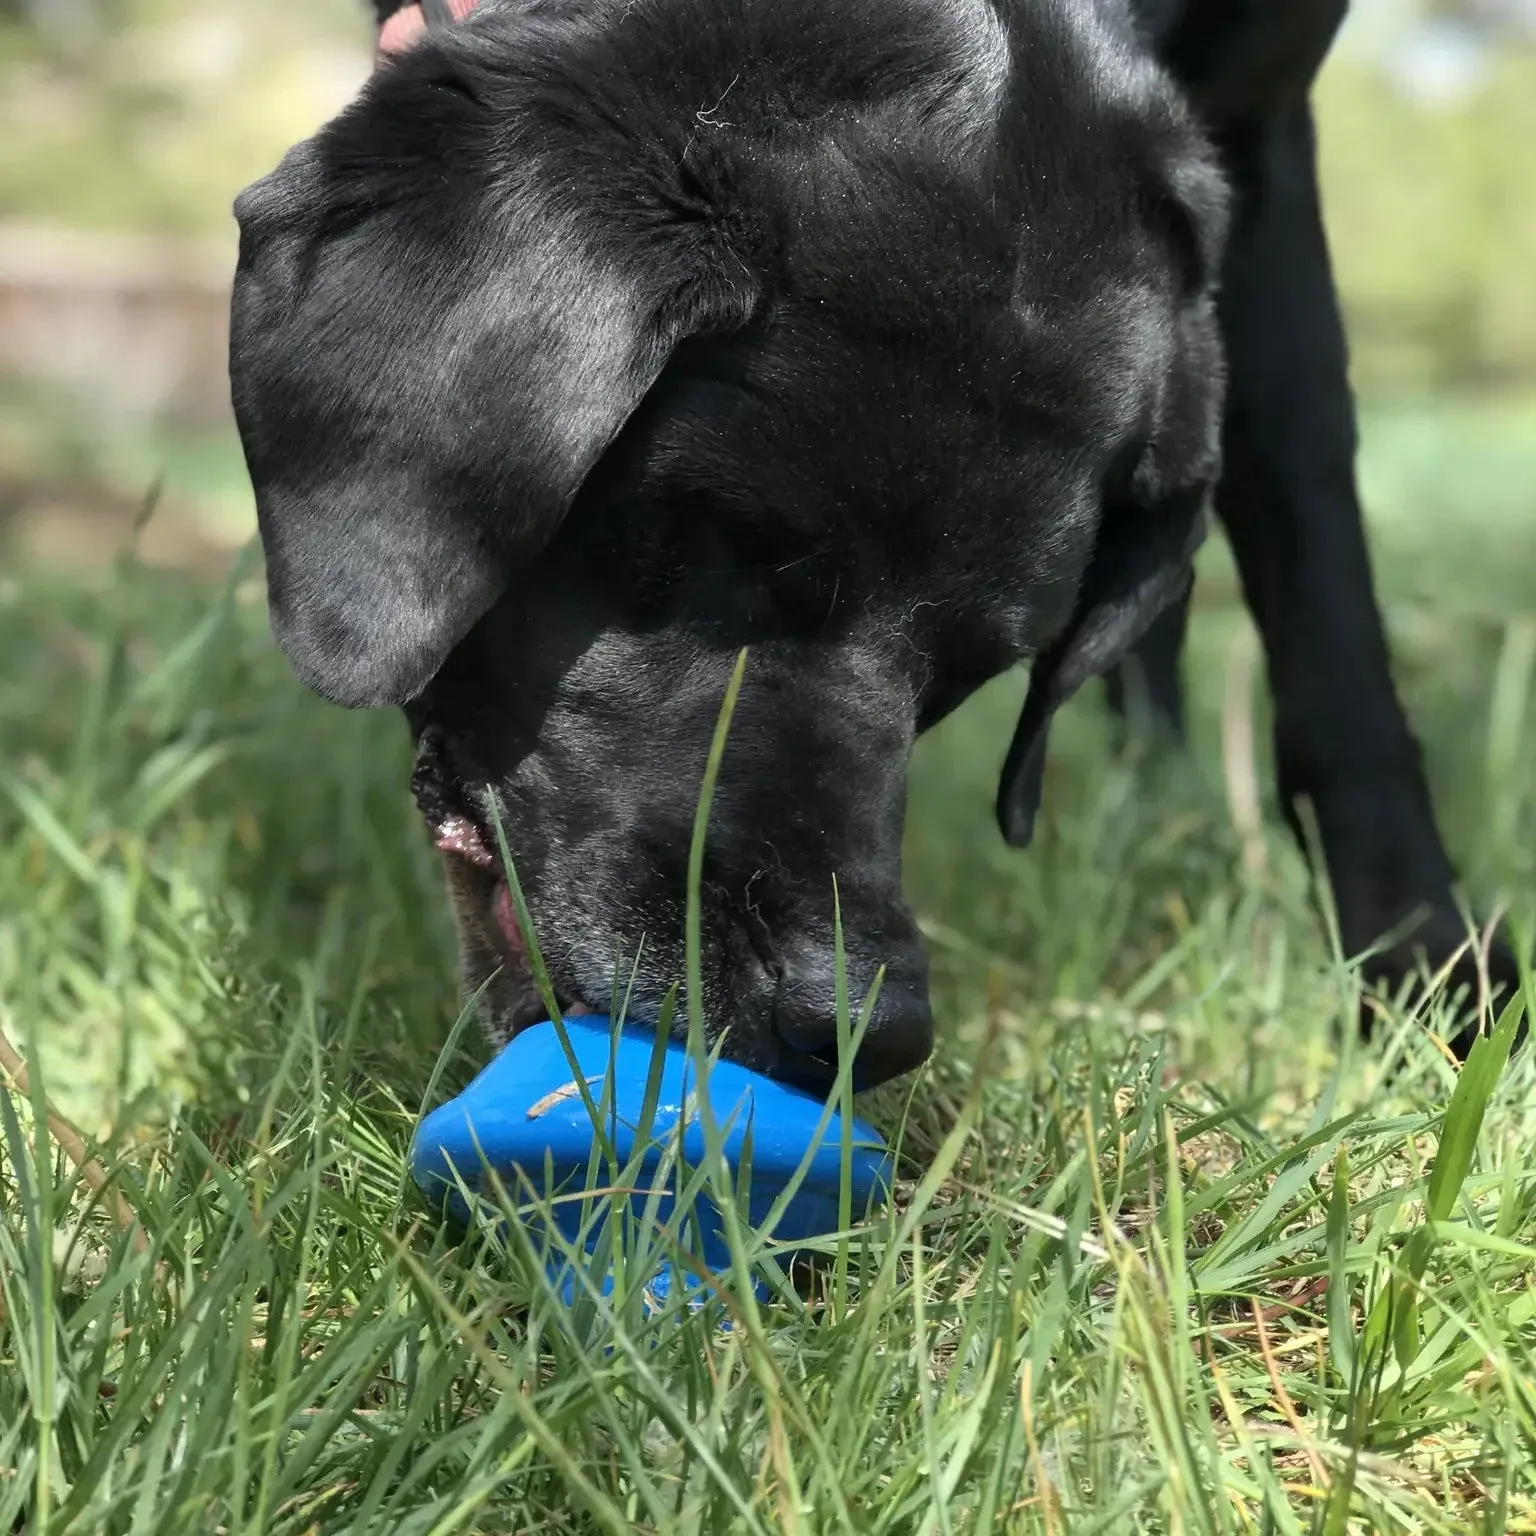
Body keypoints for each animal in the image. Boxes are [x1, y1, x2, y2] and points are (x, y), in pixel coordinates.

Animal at [224, 0, 1511, 1093]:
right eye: (700, 547)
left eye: (977, 672)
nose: (860, 1027)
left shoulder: (1265, 135)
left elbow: (1329, 607)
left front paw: (1435, 986)